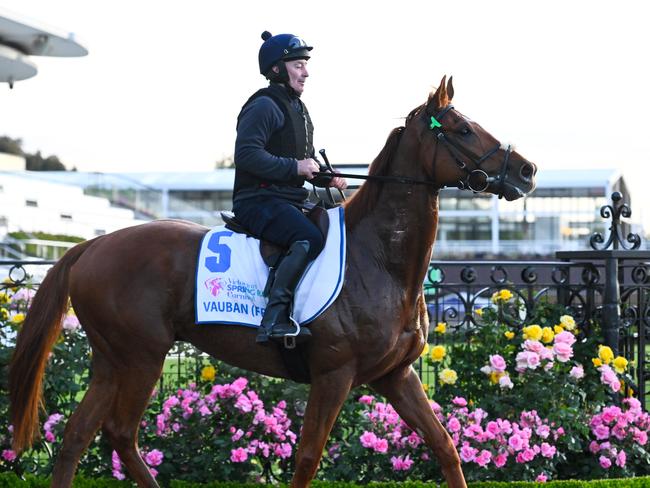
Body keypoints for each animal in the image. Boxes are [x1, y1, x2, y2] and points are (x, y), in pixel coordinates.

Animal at [10, 76, 536, 484]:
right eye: (463, 129)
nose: (527, 170)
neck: (379, 261)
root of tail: (92, 245)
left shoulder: (396, 374)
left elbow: (444, 445)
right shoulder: (333, 375)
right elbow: (307, 458)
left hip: (110, 361)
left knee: (77, 436)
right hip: (142, 357)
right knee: (120, 433)